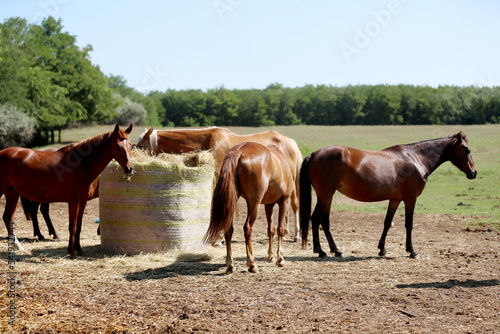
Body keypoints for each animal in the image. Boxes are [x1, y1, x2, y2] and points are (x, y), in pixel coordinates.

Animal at [0, 124, 133, 258]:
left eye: (131, 145)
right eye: (117, 146)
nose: (129, 169)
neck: (81, 164)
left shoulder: (82, 202)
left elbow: (79, 226)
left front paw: (79, 249)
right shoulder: (73, 202)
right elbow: (72, 226)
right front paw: (71, 252)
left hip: (12, 193)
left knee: (7, 217)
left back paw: (18, 246)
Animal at [137, 126, 302, 241]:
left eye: (142, 146)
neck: (209, 142)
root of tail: (290, 142)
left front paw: (218, 239)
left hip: (292, 182)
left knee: (294, 205)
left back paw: (296, 235)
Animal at [203, 142, 294, 274]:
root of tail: (239, 151)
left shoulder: (268, 205)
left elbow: (270, 229)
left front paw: (270, 256)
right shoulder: (284, 201)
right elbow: (280, 229)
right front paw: (280, 259)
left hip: (233, 201)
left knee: (229, 230)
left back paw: (230, 265)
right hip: (253, 204)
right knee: (248, 228)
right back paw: (252, 264)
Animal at [298, 132, 478, 260]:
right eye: (467, 150)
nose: (474, 172)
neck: (415, 158)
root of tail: (313, 155)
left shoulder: (395, 199)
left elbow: (387, 222)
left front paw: (382, 249)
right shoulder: (410, 198)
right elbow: (409, 224)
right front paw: (412, 251)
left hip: (327, 197)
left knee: (322, 221)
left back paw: (332, 250)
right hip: (326, 196)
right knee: (318, 219)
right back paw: (323, 251)